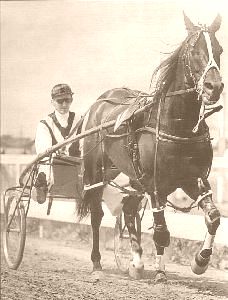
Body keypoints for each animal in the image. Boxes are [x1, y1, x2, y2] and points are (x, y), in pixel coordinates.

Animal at [75, 12, 224, 282]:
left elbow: (213, 218)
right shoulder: (156, 184)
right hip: (96, 171)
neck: (177, 124)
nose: (214, 87)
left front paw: (200, 261)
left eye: (218, 49)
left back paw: (136, 263)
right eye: (193, 50)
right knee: (96, 214)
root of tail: (98, 103)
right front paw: (161, 272)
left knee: (129, 208)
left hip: (132, 175)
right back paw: (97, 263)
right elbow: (162, 232)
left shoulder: (193, 178)